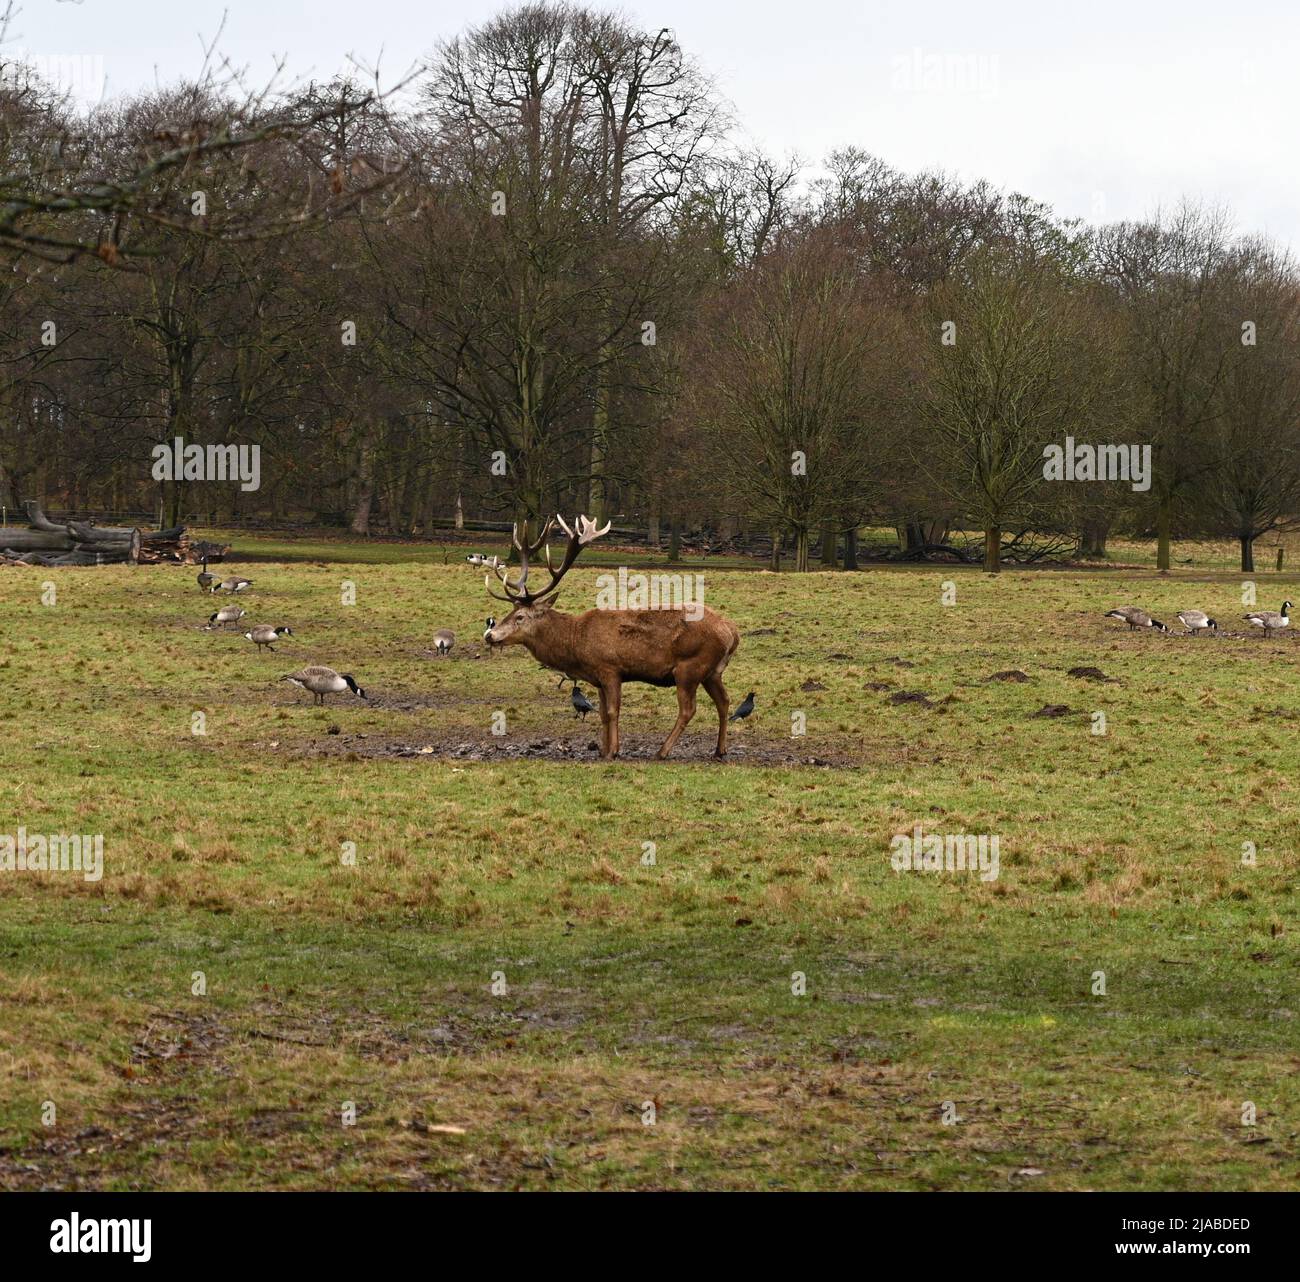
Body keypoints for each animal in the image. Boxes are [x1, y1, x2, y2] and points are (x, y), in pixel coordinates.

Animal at [482, 515, 741, 760]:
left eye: (520, 617)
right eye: (510, 613)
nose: (489, 635)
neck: (576, 643)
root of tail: (732, 631)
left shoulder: (610, 668)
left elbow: (612, 711)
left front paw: (613, 752)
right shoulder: (597, 678)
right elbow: (602, 714)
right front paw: (602, 749)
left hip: (690, 667)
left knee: (688, 709)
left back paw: (662, 751)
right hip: (712, 672)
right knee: (724, 700)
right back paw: (720, 750)